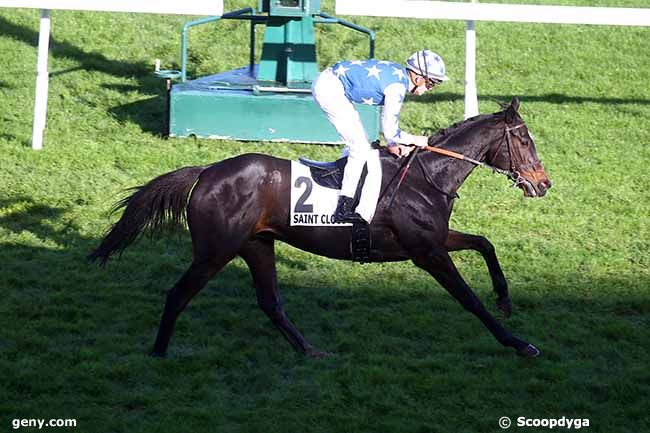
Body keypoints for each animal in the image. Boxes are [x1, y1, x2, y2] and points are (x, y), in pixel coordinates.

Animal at [88, 98, 548, 358]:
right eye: (524, 140)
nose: (543, 183)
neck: (425, 177)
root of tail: (205, 173)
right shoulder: (427, 252)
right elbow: (469, 299)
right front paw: (518, 343)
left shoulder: (432, 241)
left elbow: (484, 244)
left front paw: (505, 300)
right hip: (215, 251)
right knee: (179, 294)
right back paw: (159, 353)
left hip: (256, 245)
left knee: (270, 302)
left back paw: (309, 350)